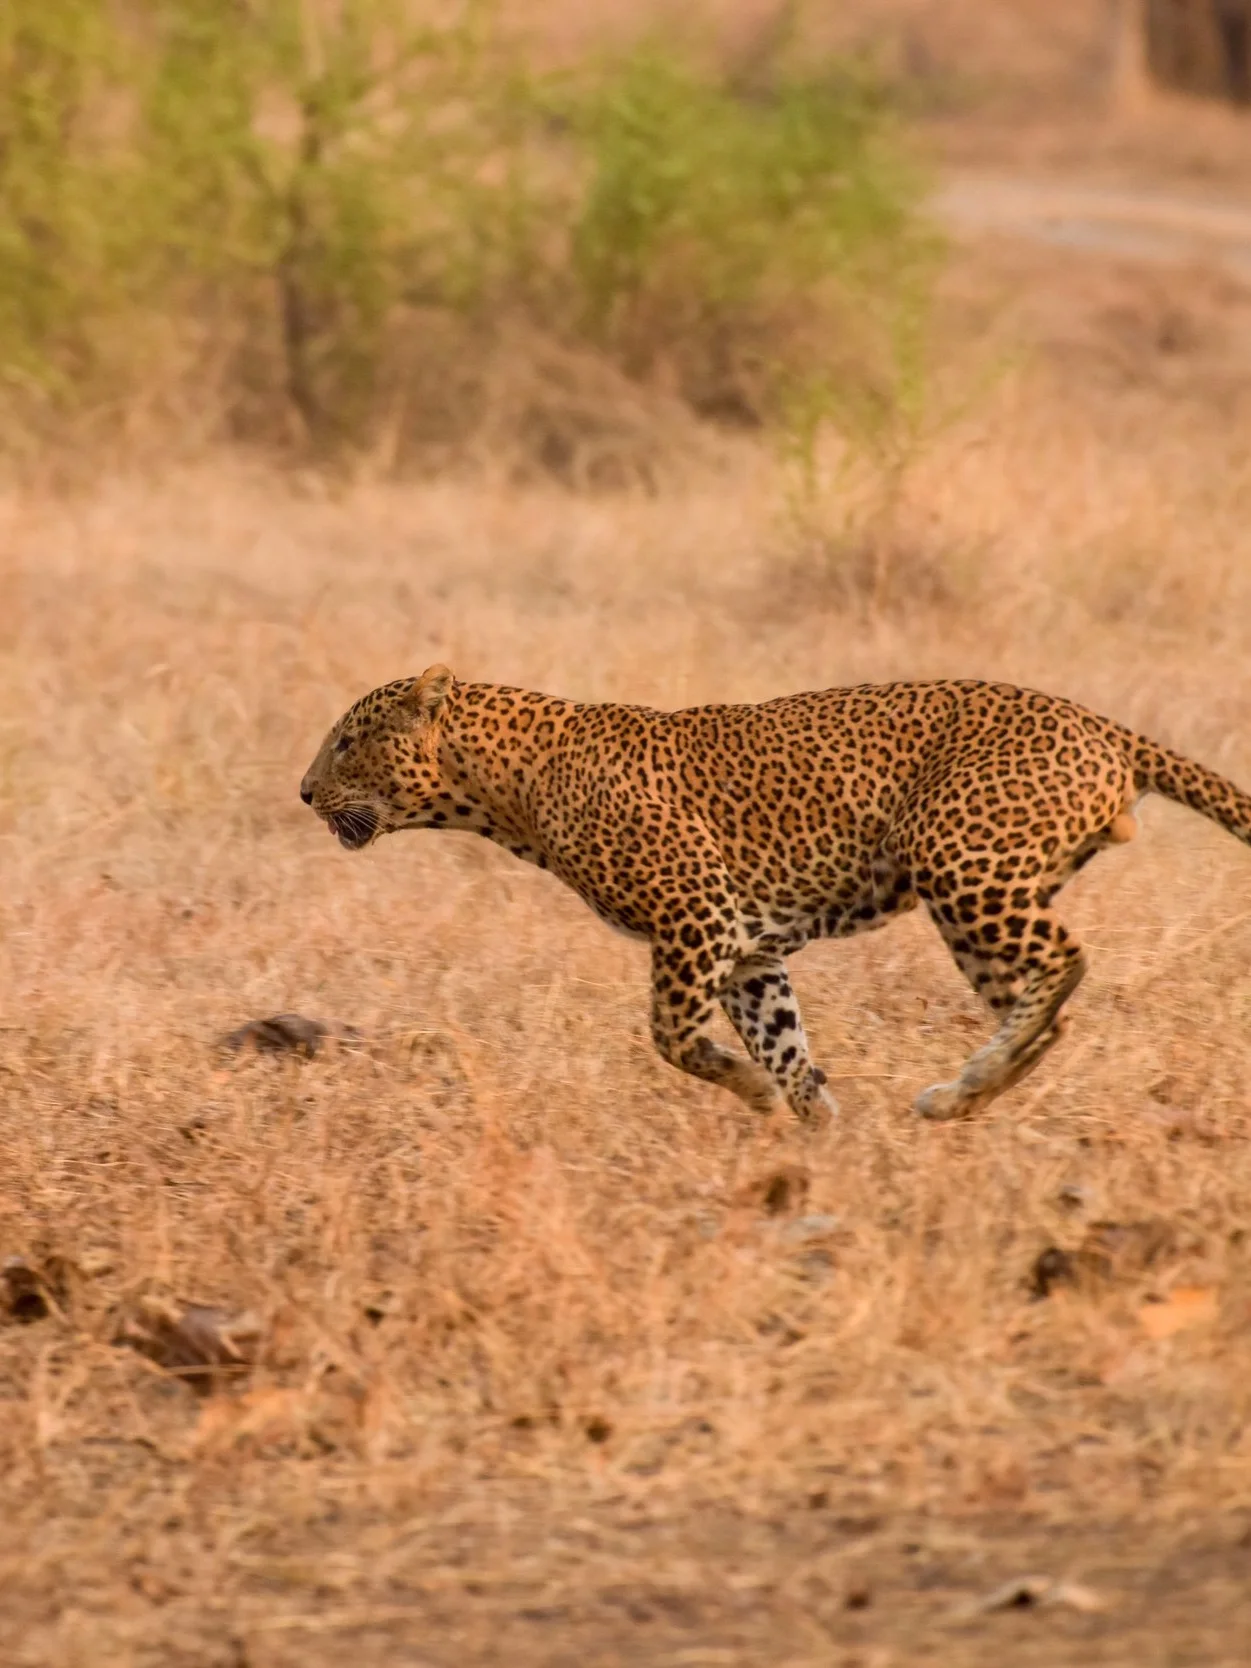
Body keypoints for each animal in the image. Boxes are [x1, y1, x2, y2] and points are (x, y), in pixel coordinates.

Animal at [299, 667, 1251, 1123]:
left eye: (347, 741)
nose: (304, 792)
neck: (501, 792)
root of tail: (1102, 725)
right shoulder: (747, 950)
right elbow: (782, 1044)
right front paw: (815, 1122)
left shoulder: (694, 918)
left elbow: (671, 1037)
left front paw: (755, 1098)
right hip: (977, 897)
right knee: (1040, 1006)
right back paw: (967, 1094)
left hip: (959, 863)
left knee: (1066, 962)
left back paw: (968, 1083)